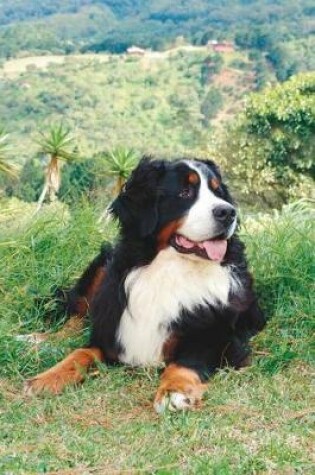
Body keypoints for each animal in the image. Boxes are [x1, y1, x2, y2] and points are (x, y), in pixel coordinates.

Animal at [25, 157, 266, 412]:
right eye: (185, 192)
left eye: (218, 191)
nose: (228, 212)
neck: (168, 271)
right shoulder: (112, 331)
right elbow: (81, 352)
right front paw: (46, 379)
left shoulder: (221, 337)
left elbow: (185, 361)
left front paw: (174, 390)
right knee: (76, 315)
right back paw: (37, 340)